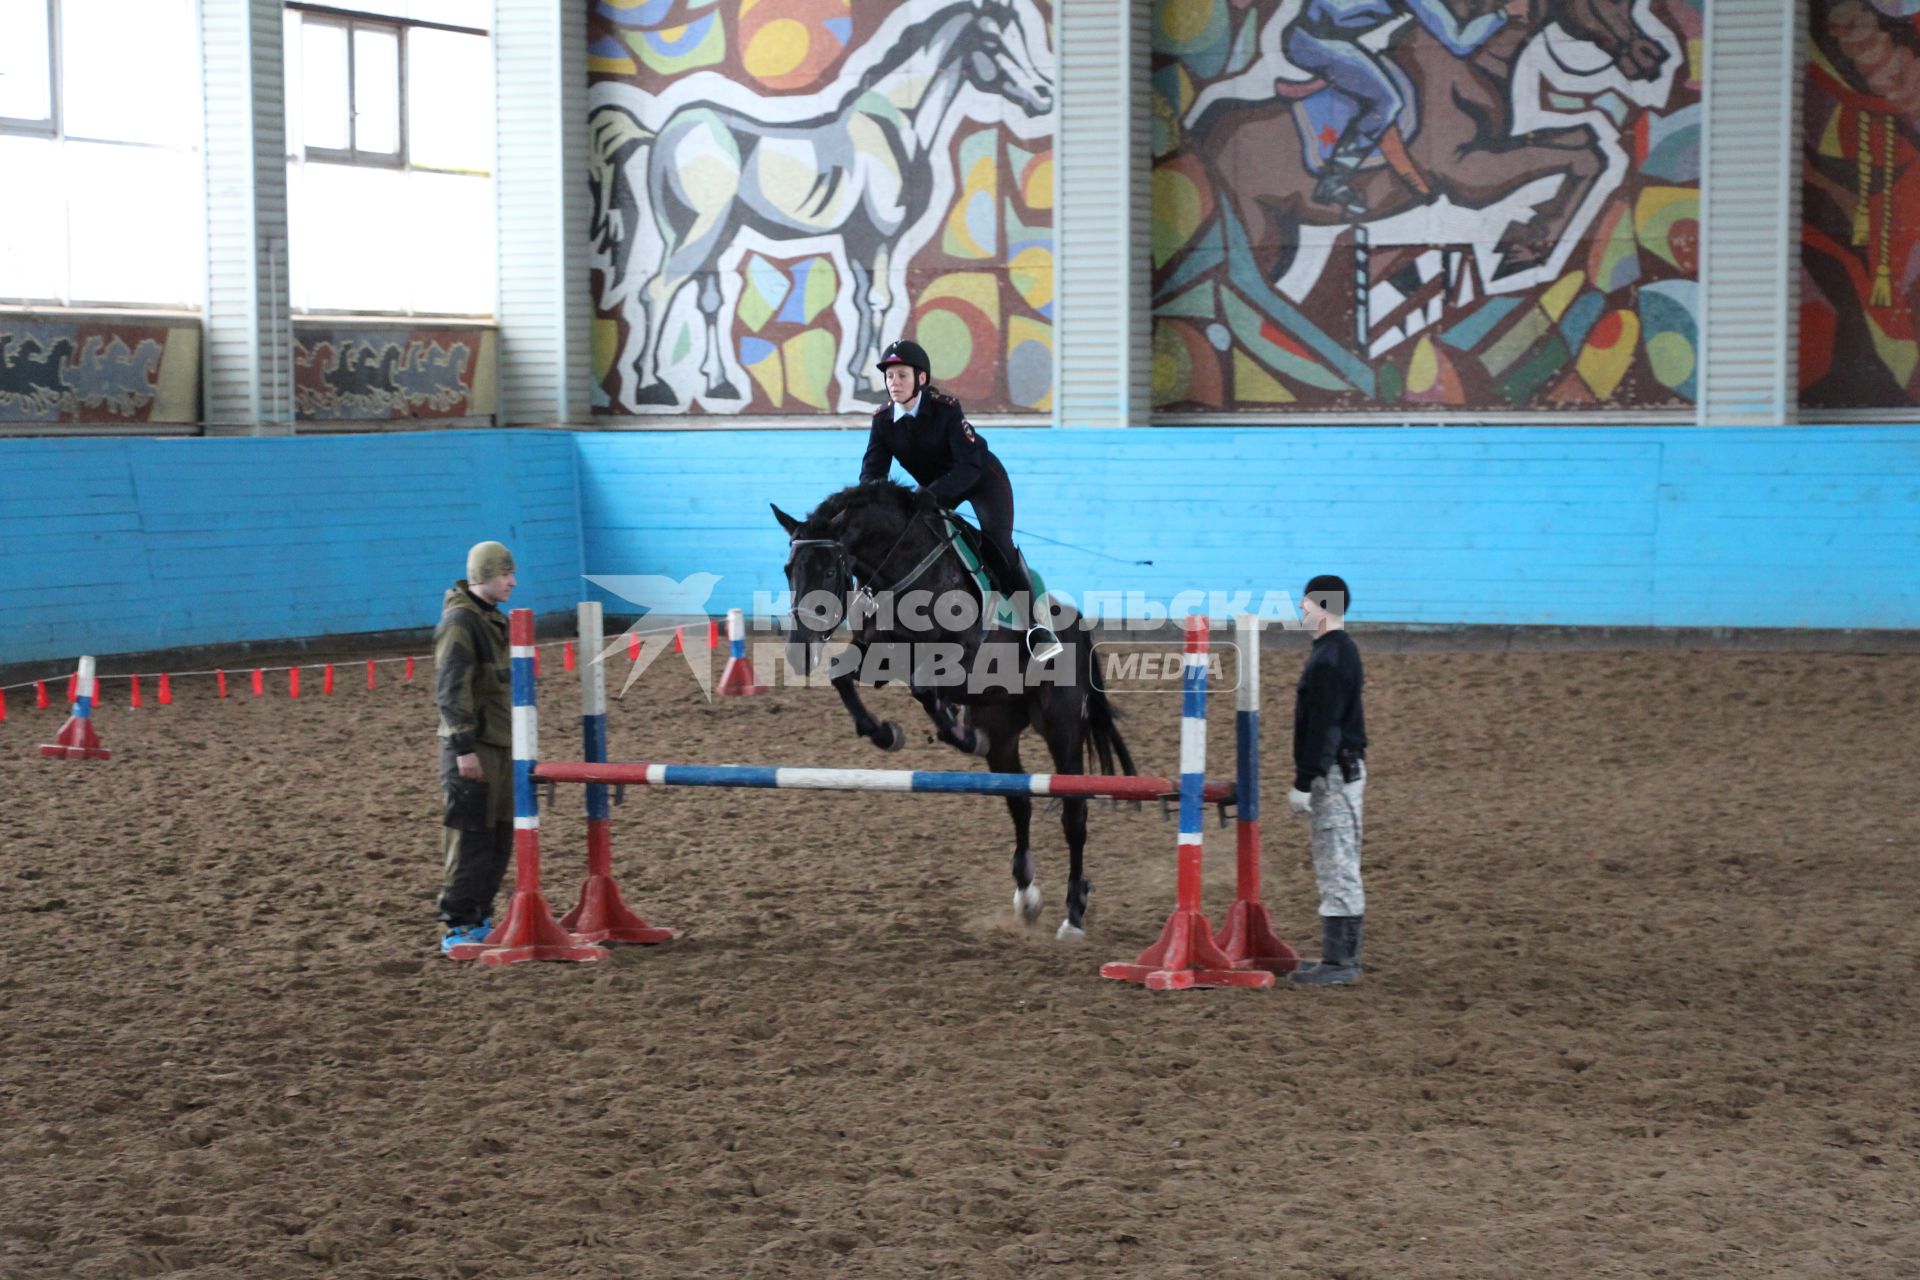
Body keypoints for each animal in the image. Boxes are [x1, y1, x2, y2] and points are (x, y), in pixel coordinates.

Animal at [771, 483, 1128, 940]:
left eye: (830, 572)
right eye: (788, 570)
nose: (798, 651)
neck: (906, 572)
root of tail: (1078, 627)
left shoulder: (963, 659)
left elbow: (925, 687)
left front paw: (956, 732)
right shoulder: (878, 654)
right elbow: (841, 676)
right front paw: (886, 733)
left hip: (1062, 727)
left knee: (1074, 814)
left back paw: (1074, 914)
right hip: (1004, 731)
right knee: (1019, 803)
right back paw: (1027, 896)